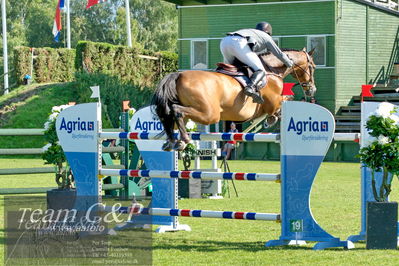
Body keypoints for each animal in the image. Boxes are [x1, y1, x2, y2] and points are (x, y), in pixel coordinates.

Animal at [152, 47, 318, 152]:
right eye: (312, 67)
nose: (312, 89)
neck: (272, 70)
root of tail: (178, 75)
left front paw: (269, 120)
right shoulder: (274, 102)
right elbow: (285, 101)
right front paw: (271, 119)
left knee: (172, 118)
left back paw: (173, 142)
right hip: (209, 114)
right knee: (177, 111)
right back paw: (185, 140)